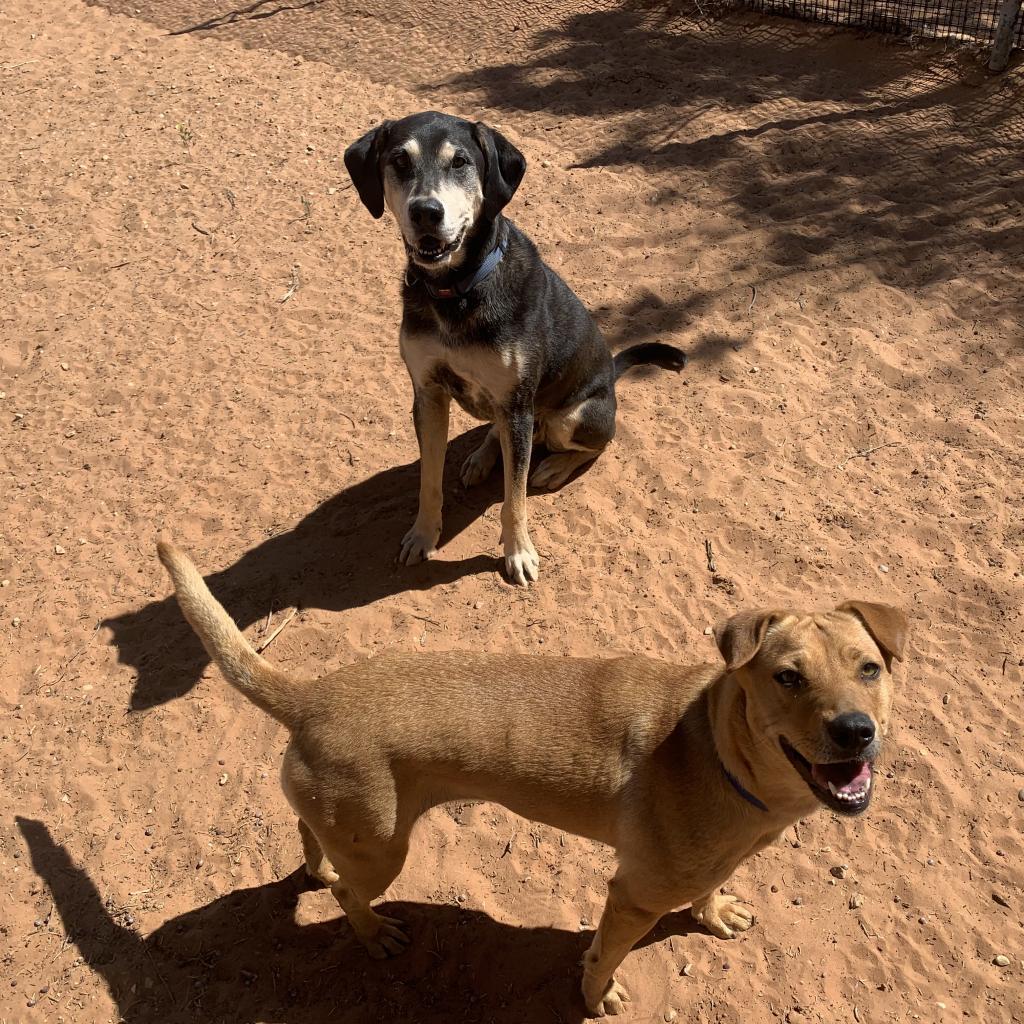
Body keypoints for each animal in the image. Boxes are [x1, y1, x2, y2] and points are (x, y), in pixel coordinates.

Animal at [344, 111, 688, 585]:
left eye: (460, 161)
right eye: (399, 160)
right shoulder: (429, 395)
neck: (458, 292)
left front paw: (518, 552)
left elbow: (515, 497)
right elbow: (429, 479)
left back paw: (554, 465)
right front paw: (423, 534)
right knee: (500, 432)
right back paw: (482, 457)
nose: (426, 212)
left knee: (594, 446)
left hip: (568, 417)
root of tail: (612, 376)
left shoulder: (517, 404)